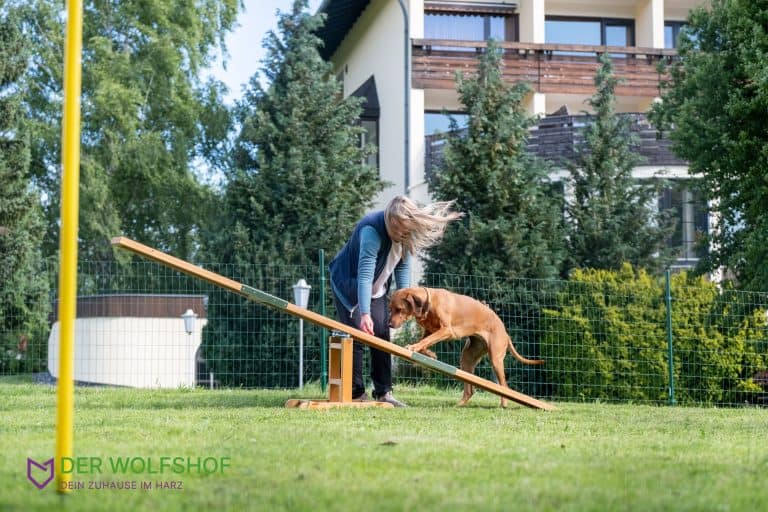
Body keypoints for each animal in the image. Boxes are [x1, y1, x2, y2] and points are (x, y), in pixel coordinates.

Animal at [388, 286, 544, 406]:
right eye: (390, 309)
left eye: (399, 309)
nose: (389, 325)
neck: (429, 303)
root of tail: (505, 332)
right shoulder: (429, 330)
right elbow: (426, 341)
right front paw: (429, 354)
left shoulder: (446, 330)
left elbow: (427, 340)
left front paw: (414, 348)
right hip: (467, 358)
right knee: (470, 390)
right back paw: (460, 404)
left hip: (496, 359)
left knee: (504, 385)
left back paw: (503, 404)